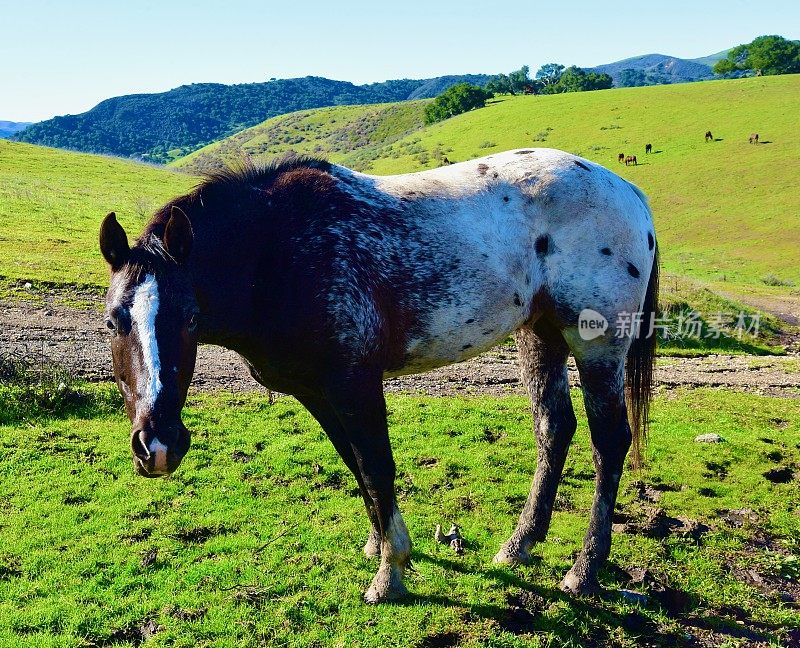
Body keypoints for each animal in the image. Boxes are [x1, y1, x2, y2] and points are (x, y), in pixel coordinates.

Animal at [98, 147, 656, 604]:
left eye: (190, 318)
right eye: (113, 320)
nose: (157, 445)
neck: (279, 249)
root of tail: (630, 194)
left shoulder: (356, 385)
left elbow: (377, 466)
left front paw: (391, 572)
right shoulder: (318, 393)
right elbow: (355, 463)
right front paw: (377, 544)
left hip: (597, 345)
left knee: (610, 442)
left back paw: (584, 571)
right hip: (540, 335)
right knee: (553, 429)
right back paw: (519, 545)